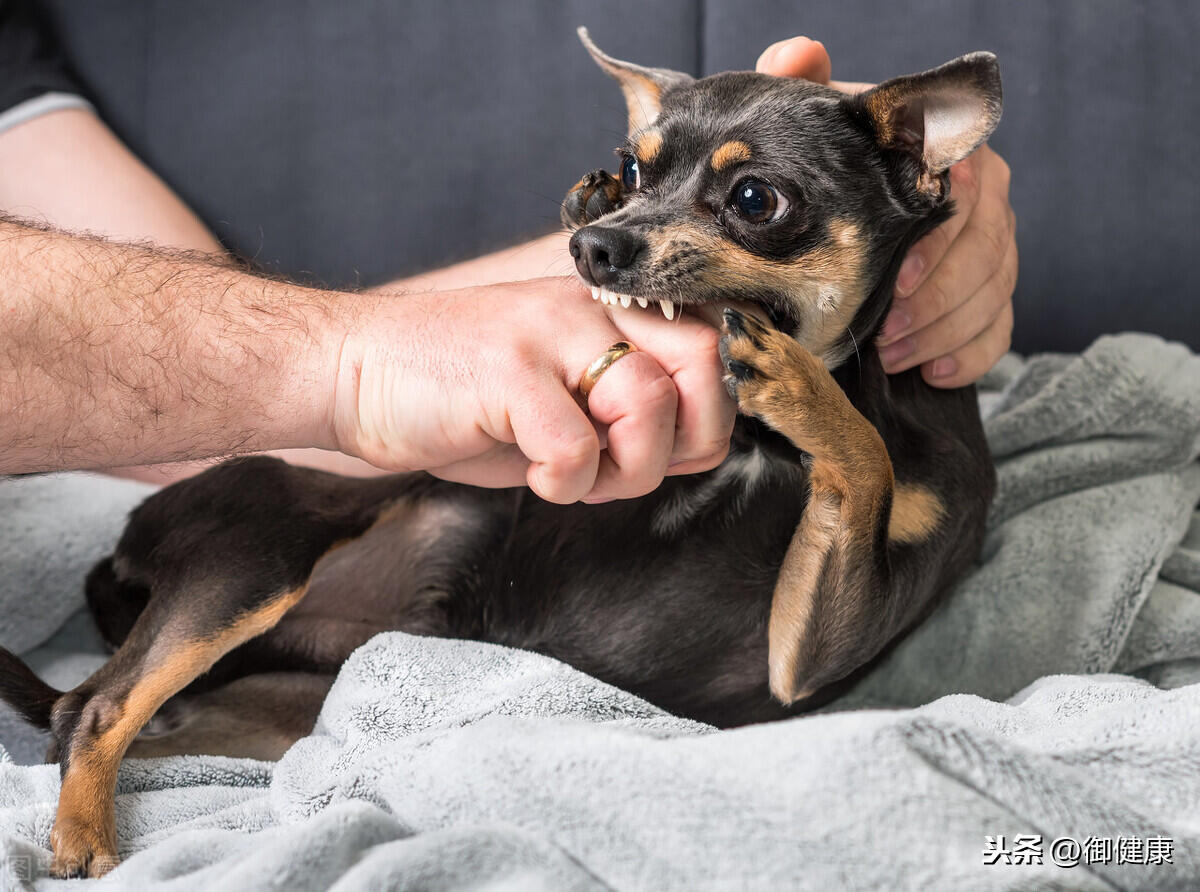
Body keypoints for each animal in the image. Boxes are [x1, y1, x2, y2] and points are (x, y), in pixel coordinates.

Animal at [0, 29, 998, 878]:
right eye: (634, 167)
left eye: (757, 199)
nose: (597, 241)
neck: (762, 449)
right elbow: (864, 454)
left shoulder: (803, 660)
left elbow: (865, 458)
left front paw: (792, 379)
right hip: (263, 554)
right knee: (95, 706)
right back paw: (84, 836)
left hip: (286, 705)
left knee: (118, 723)